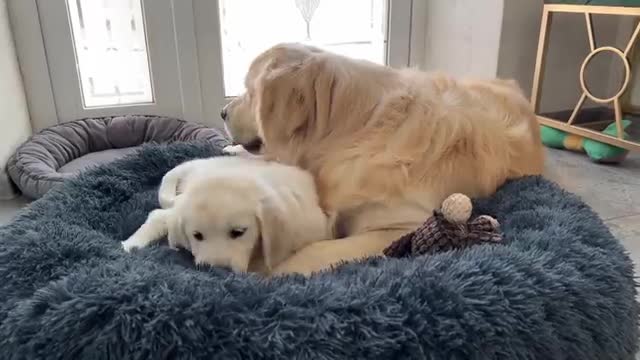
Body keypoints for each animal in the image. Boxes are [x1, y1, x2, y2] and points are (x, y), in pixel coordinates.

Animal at [121, 157, 336, 272]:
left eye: (238, 232)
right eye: (197, 236)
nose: (217, 270)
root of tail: (196, 164)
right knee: (159, 215)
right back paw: (131, 244)